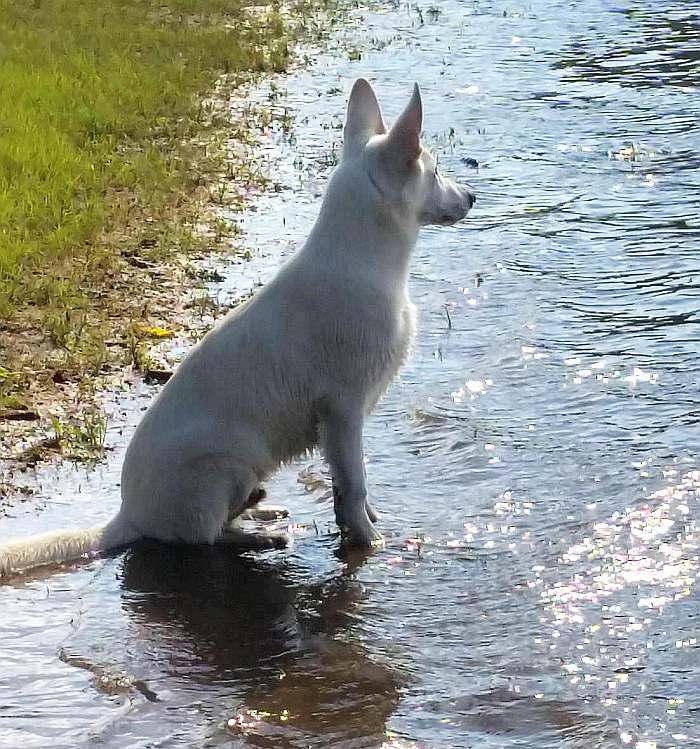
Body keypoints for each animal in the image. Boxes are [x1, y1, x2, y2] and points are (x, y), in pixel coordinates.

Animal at [0, 79, 476, 576]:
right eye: (435, 171)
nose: (472, 198)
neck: (361, 259)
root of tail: (129, 516)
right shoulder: (342, 411)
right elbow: (353, 485)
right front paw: (368, 540)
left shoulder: (339, 423)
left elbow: (348, 488)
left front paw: (364, 521)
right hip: (232, 456)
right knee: (206, 536)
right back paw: (261, 533)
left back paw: (261, 508)